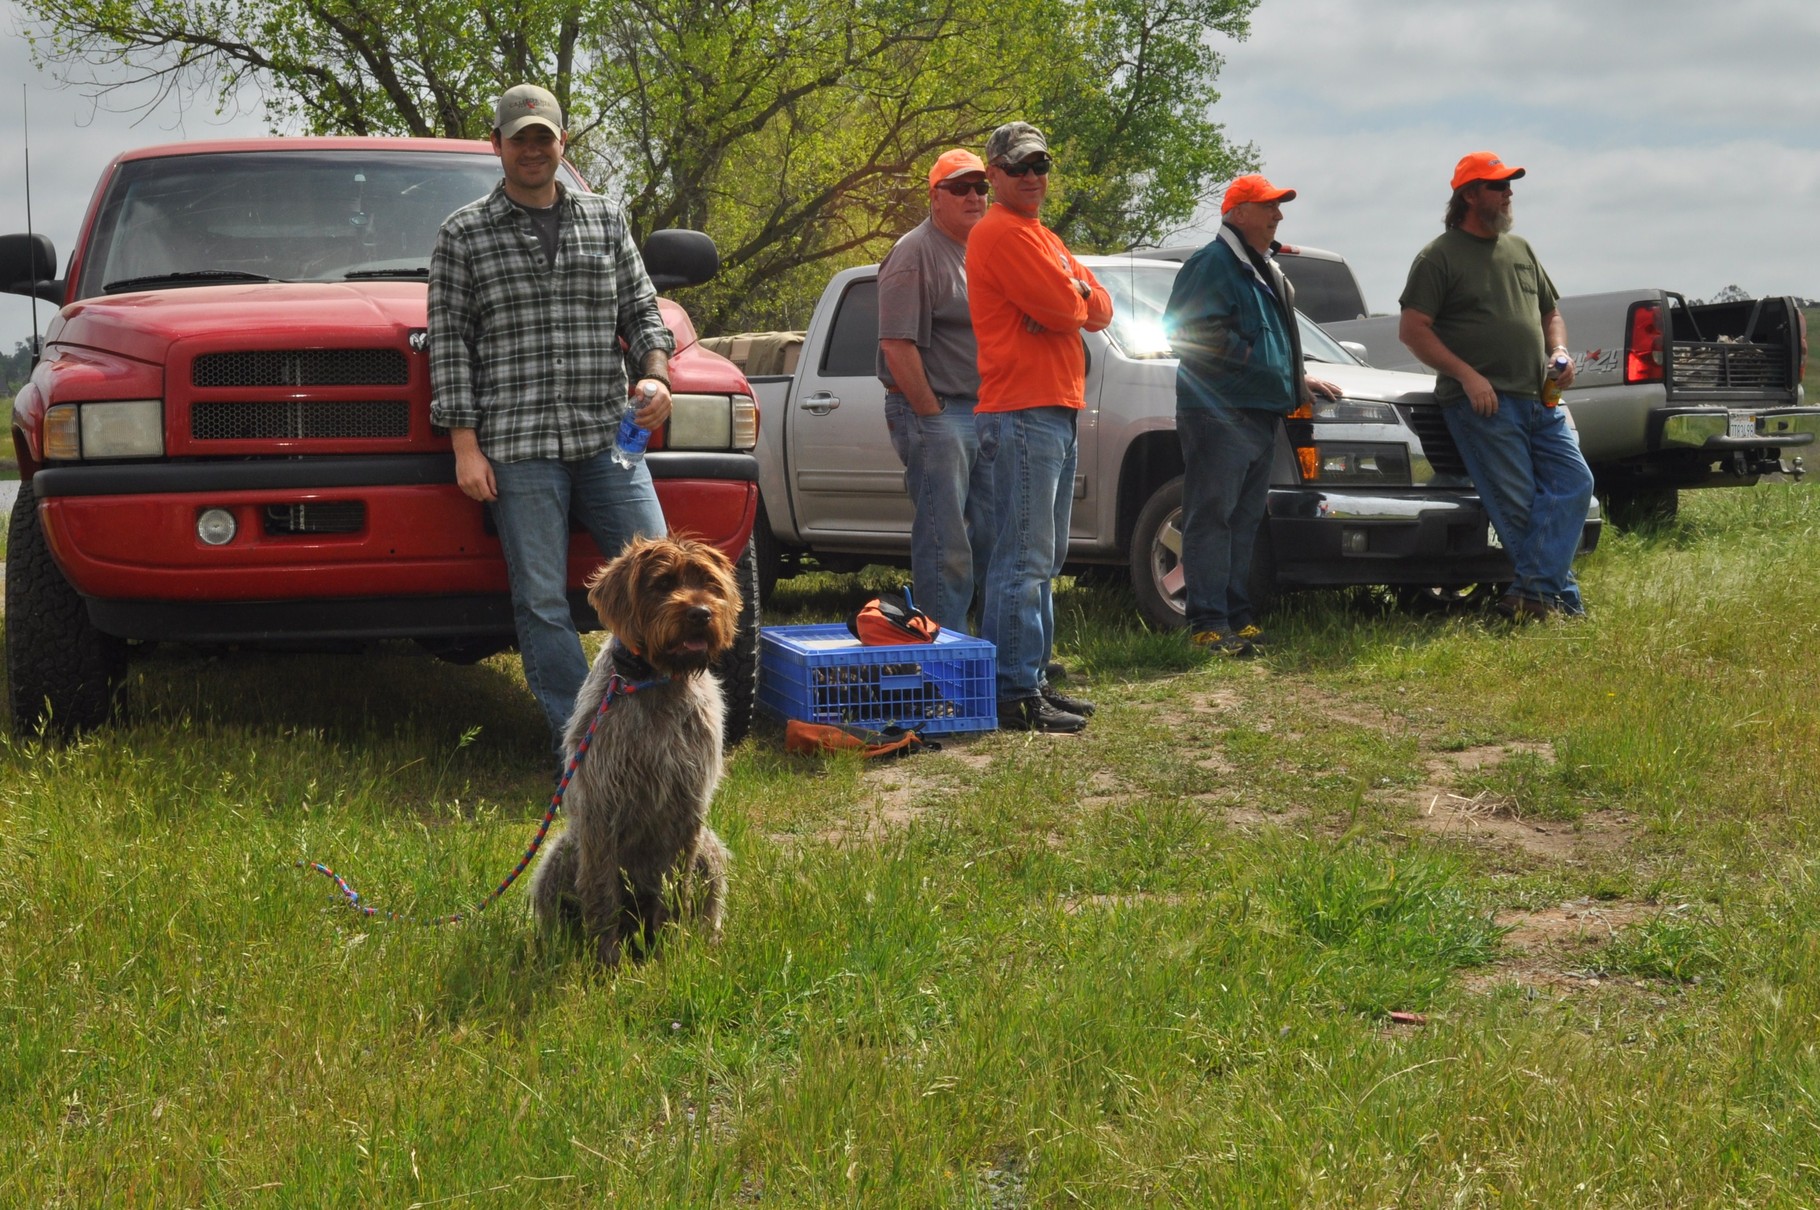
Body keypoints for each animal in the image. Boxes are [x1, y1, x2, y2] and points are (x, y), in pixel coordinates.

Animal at [531, 531, 738, 960]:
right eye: (662, 584)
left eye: (709, 583)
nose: (701, 613)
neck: (657, 680)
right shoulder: (601, 810)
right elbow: (600, 891)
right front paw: (606, 959)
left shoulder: (687, 807)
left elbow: (675, 886)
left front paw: (669, 952)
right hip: (563, 852)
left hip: (709, 850)